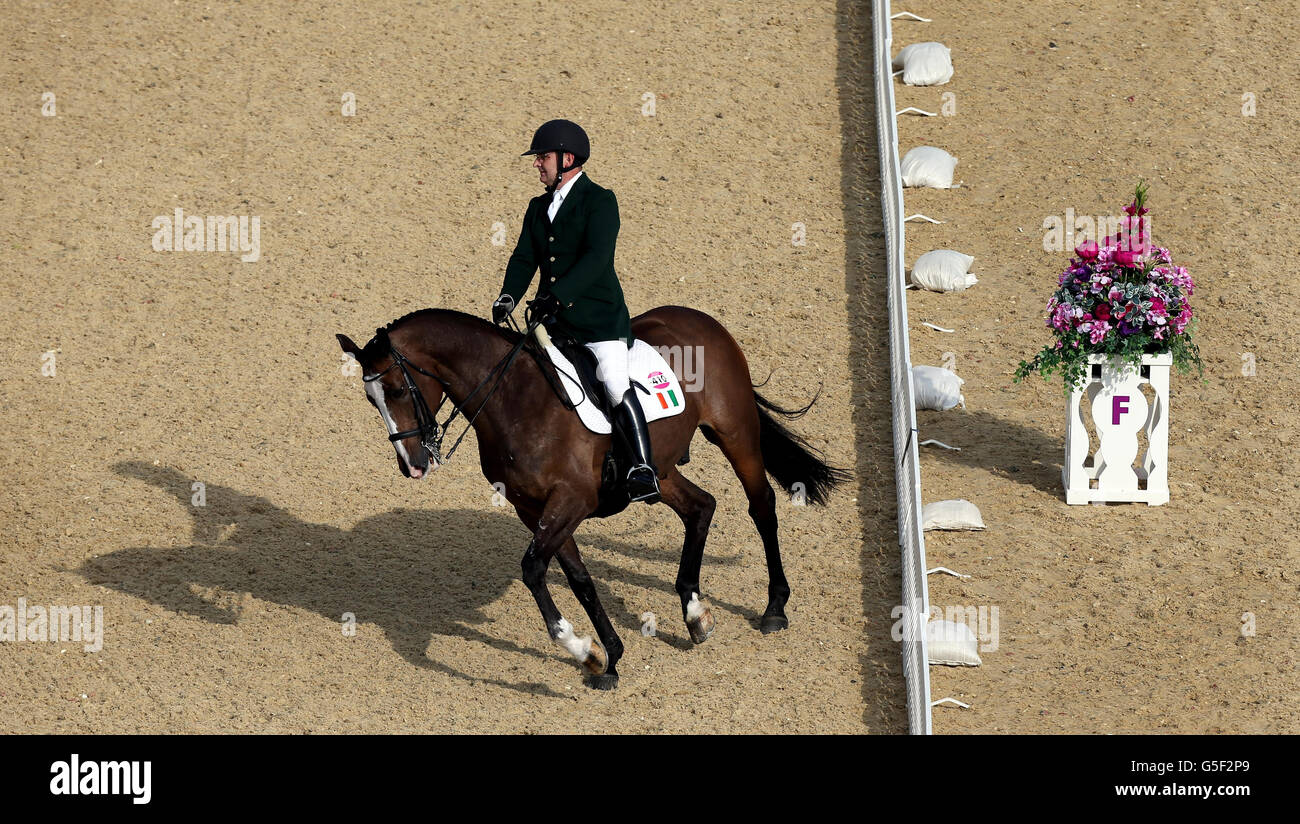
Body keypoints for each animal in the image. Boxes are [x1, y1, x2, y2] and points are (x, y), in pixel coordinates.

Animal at [332, 302, 852, 686]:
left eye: (398, 389)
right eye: (371, 400)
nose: (413, 466)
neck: (515, 399)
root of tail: (702, 318)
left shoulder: (570, 502)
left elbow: (533, 569)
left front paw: (582, 648)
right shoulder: (533, 508)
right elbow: (577, 577)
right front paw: (609, 657)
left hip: (735, 433)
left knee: (761, 505)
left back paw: (774, 608)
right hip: (660, 472)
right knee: (701, 507)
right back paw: (695, 613)